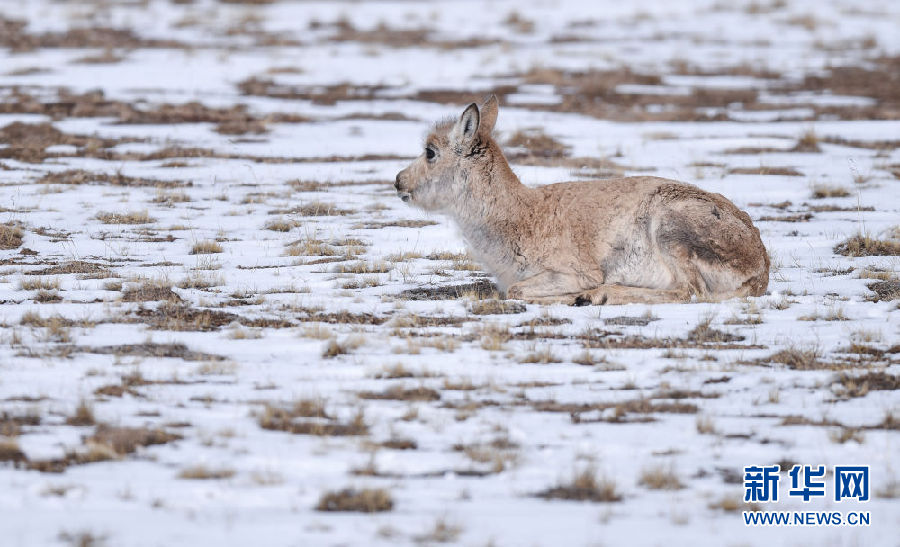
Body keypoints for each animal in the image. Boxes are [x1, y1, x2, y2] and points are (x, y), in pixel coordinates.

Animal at [394, 96, 769, 305]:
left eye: (430, 152)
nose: (398, 180)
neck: (519, 213)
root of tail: (760, 266)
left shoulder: (572, 272)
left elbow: (516, 291)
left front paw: (579, 295)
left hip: (670, 228)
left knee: (689, 291)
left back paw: (599, 296)